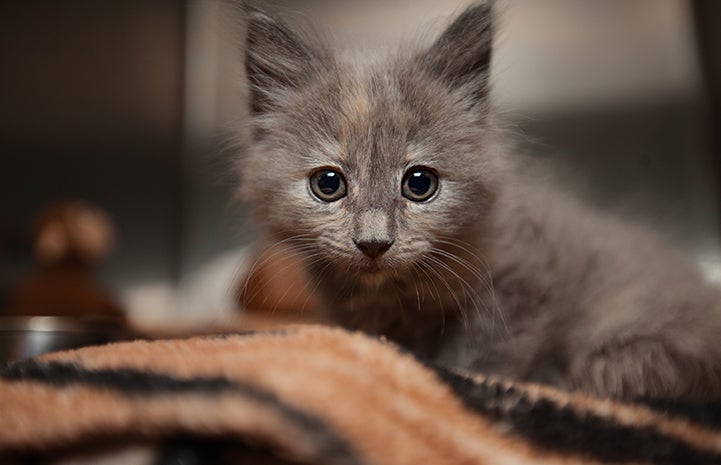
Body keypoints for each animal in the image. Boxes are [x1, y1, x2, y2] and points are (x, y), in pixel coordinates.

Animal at [238, 2, 720, 398]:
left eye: (419, 184)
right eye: (328, 184)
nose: (373, 243)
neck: (392, 294)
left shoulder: (522, 282)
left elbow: (481, 353)